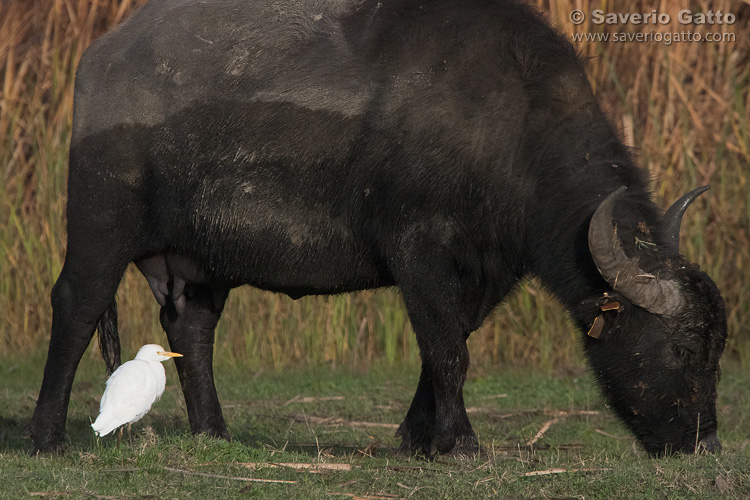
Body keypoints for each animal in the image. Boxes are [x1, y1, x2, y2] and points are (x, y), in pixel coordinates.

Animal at [30, 0, 728, 458]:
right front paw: (461, 443)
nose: (704, 443)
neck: (510, 131)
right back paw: (47, 437)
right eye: (681, 350)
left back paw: (214, 431)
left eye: (718, 350)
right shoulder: (418, 249)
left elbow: (448, 342)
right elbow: (447, 349)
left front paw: (420, 438)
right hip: (100, 223)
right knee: (77, 304)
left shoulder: (488, 269)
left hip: (198, 259)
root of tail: (100, 59)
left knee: (191, 328)